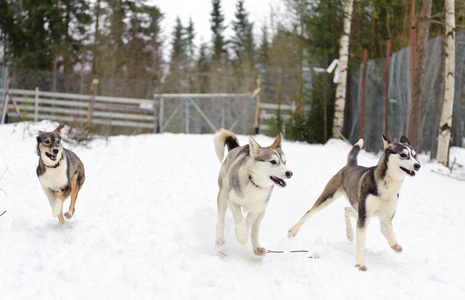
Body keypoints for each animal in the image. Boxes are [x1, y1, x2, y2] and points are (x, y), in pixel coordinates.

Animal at [286, 135, 420, 270]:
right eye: (403, 155)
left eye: (415, 155)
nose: (418, 165)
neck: (387, 186)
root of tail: (351, 165)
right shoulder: (364, 218)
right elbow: (361, 244)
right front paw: (360, 264)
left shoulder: (384, 218)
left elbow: (390, 233)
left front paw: (395, 245)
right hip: (329, 198)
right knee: (309, 212)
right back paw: (293, 230)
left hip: (358, 209)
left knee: (346, 209)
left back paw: (350, 233)